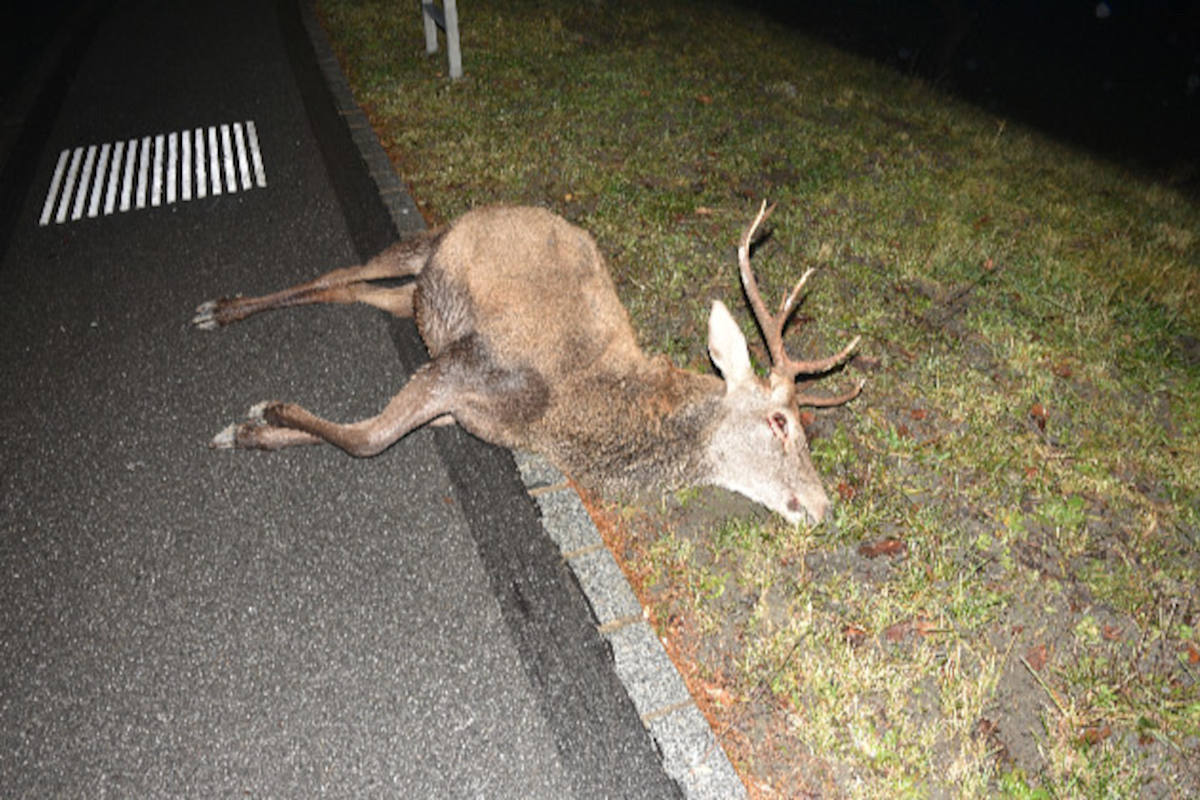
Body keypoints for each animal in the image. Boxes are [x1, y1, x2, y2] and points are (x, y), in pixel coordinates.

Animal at [192, 201, 862, 525]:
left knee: (357, 292)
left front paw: (249, 428)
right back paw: (220, 309)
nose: (824, 507)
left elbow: (361, 430)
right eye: (781, 422)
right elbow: (366, 439)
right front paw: (265, 410)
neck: (562, 417)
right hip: (428, 243)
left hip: (416, 296)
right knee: (341, 271)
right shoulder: (466, 363)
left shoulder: (459, 404)